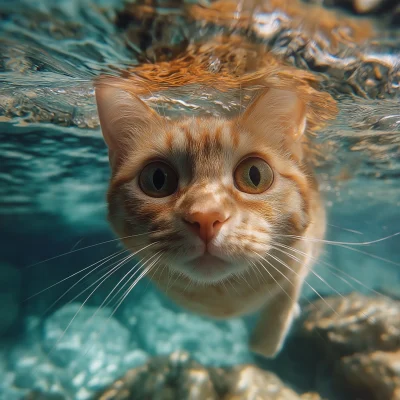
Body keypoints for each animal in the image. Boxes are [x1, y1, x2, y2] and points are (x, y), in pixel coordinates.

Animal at [94, 38, 334, 356]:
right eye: (157, 179)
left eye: (255, 175)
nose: (206, 217)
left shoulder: (306, 248)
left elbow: (286, 297)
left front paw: (266, 340)